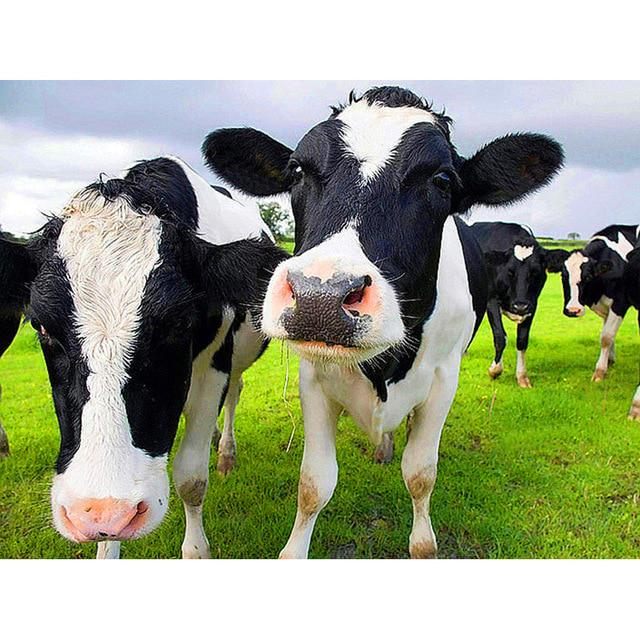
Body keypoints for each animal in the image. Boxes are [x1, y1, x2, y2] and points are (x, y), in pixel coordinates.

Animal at [0, 156, 286, 559]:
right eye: (42, 326)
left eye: (177, 322)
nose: (103, 512)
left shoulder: (214, 366)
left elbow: (191, 478)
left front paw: (196, 550)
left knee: (235, 391)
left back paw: (226, 452)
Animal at [469, 222, 568, 387]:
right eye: (510, 270)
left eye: (535, 271)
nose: (519, 306)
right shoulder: (491, 300)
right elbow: (500, 337)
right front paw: (495, 371)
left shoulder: (532, 305)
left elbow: (522, 340)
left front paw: (522, 377)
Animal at [560, 224, 639, 382]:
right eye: (563, 276)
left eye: (588, 276)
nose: (573, 310)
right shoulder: (604, 307)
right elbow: (608, 333)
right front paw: (610, 360)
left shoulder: (619, 304)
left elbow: (606, 336)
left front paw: (600, 371)